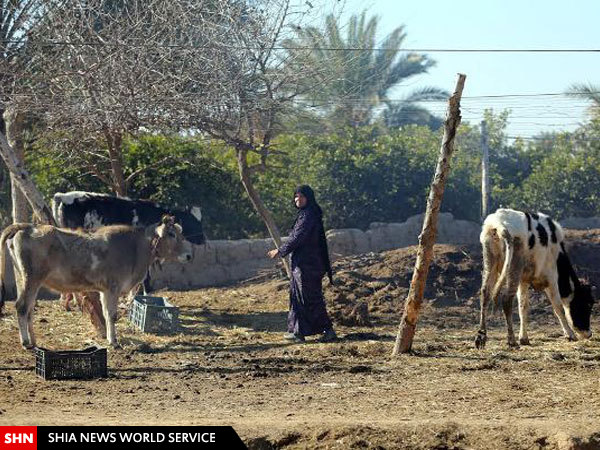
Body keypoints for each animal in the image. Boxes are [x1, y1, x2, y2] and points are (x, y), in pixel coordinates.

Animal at [476, 207, 592, 348]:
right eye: (587, 304)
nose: (589, 334)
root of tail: (499, 224)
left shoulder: (523, 280)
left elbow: (523, 307)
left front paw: (524, 338)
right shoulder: (552, 278)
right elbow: (558, 307)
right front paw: (570, 334)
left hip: (491, 261)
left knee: (485, 294)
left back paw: (481, 337)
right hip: (514, 266)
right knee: (507, 299)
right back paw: (511, 340)